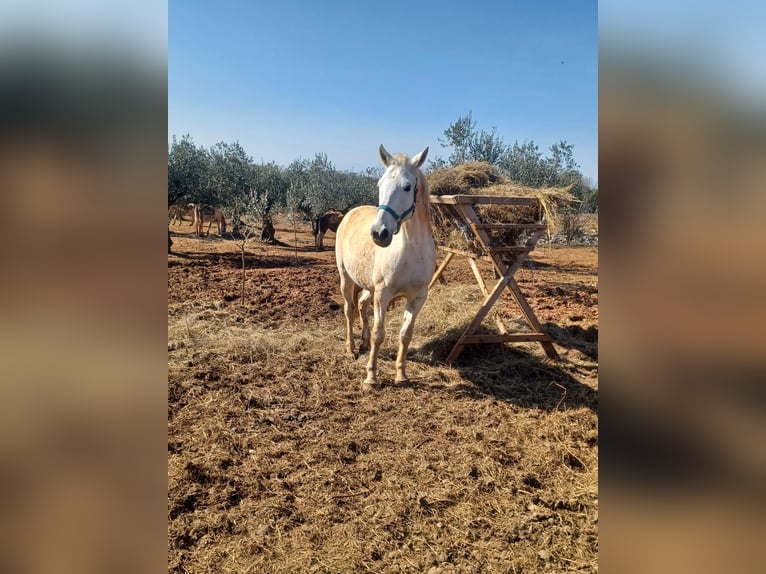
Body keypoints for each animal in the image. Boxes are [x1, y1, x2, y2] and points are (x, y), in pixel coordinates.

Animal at [335, 144, 434, 388]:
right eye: (380, 185)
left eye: (407, 187)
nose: (379, 233)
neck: (411, 250)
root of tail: (351, 212)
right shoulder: (383, 294)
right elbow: (379, 334)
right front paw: (371, 377)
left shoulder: (418, 296)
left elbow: (405, 334)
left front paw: (401, 375)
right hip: (346, 279)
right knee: (349, 310)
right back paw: (351, 348)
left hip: (368, 286)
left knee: (361, 305)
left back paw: (363, 342)